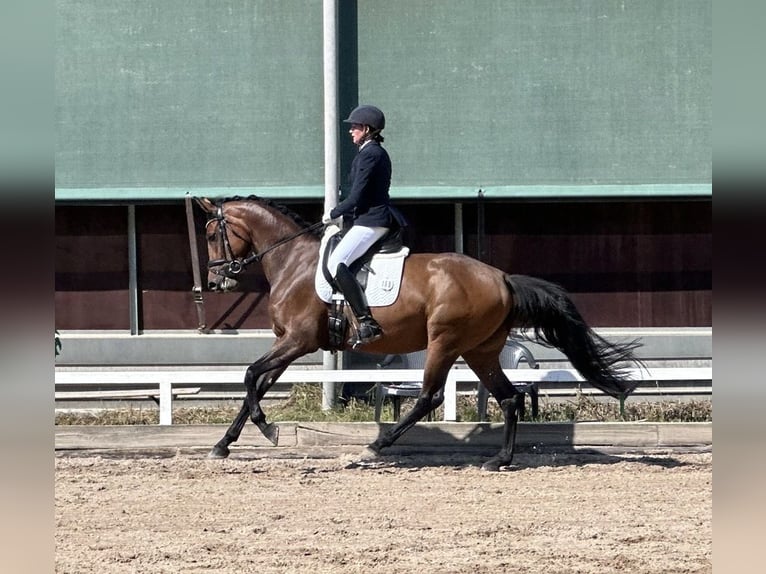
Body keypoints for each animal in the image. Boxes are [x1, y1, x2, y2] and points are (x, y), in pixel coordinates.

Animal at [198, 195, 641, 470]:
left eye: (211, 234)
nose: (217, 281)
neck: (293, 261)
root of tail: (502, 278)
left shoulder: (298, 341)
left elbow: (250, 377)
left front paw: (267, 428)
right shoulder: (285, 342)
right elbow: (255, 383)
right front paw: (224, 444)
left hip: (444, 342)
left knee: (430, 396)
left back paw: (375, 447)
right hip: (480, 350)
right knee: (510, 398)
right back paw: (499, 460)